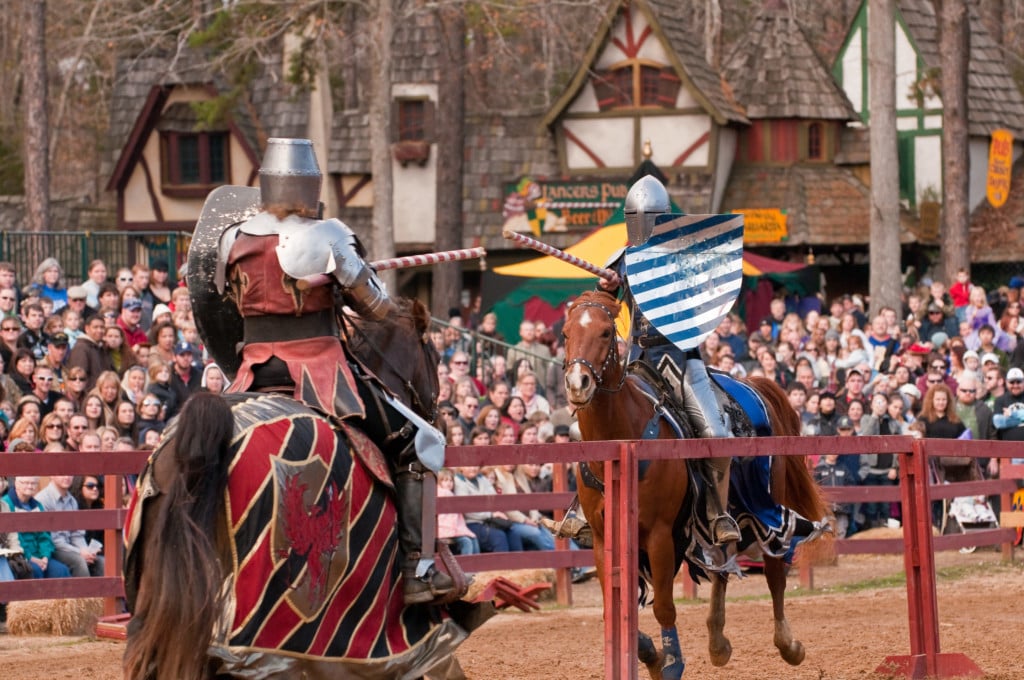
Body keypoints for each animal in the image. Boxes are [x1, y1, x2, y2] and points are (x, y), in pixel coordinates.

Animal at [565, 290, 827, 680]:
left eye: (605, 333)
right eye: (566, 333)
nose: (578, 382)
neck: (625, 438)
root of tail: (754, 386)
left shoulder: (659, 535)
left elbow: (664, 607)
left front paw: (670, 663)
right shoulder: (601, 538)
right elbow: (615, 604)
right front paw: (651, 656)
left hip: (768, 503)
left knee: (775, 570)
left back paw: (788, 645)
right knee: (722, 563)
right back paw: (718, 643)